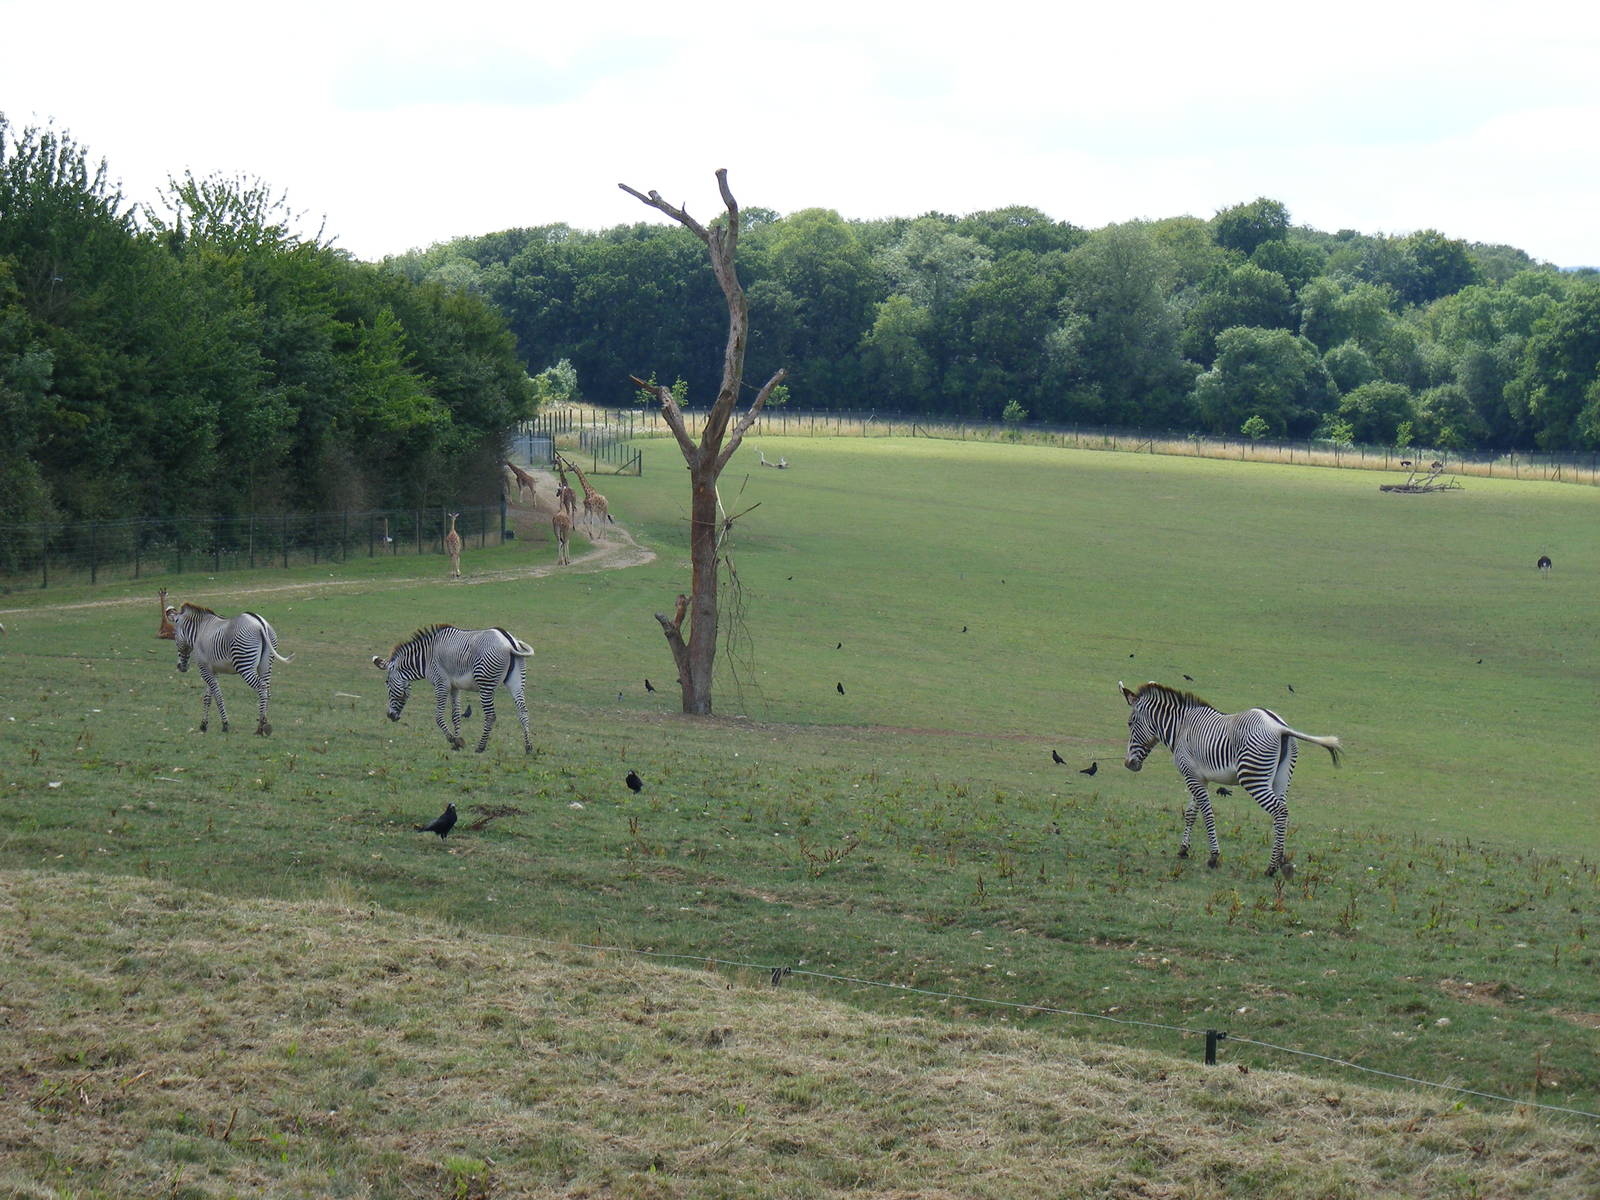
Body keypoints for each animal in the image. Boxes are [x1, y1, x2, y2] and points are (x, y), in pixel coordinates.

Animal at [166, 603, 292, 736]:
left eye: (174, 635)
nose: (180, 667)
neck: (199, 632)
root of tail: (260, 623)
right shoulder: (213, 670)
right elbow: (207, 698)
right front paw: (203, 725)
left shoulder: (204, 669)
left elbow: (218, 696)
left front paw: (225, 724)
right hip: (266, 664)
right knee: (267, 690)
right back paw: (264, 723)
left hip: (244, 665)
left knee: (261, 687)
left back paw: (261, 726)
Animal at [371, 624, 535, 753]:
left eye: (387, 682)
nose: (390, 716)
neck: (426, 658)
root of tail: (508, 641)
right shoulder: (455, 687)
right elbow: (455, 715)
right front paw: (457, 742)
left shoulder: (441, 684)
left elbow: (438, 716)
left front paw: (453, 740)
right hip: (516, 682)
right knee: (523, 711)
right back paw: (528, 747)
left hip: (485, 684)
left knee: (490, 716)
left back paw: (480, 747)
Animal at [1120, 681, 1342, 877]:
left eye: (1130, 723)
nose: (1129, 763)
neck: (1181, 727)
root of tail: (1279, 727)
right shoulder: (1199, 777)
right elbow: (1191, 813)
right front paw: (1183, 849)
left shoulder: (1190, 775)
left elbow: (1207, 814)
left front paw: (1213, 857)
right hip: (1282, 779)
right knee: (1283, 813)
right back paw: (1281, 861)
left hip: (1253, 777)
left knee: (1279, 811)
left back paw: (1271, 868)